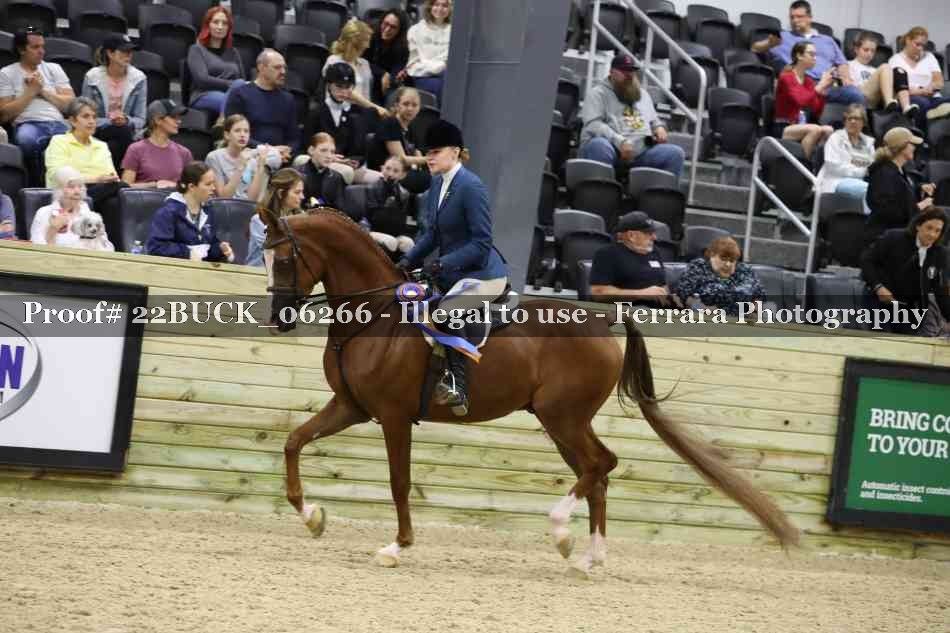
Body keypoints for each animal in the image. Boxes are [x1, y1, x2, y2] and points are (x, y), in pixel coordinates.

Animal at [263, 208, 800, 576]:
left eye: (285, 258)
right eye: (264, 257)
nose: (278, 319)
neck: (378, 317)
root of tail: (603, 320)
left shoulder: (393, 416)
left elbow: (398, 483)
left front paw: (397, 547)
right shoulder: (351, 406)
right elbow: (294, 442)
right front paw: (312, 517)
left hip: (564, 417)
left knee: (602, 465)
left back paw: (561, 531)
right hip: (560, 422)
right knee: (595, 474)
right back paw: (588, 557)